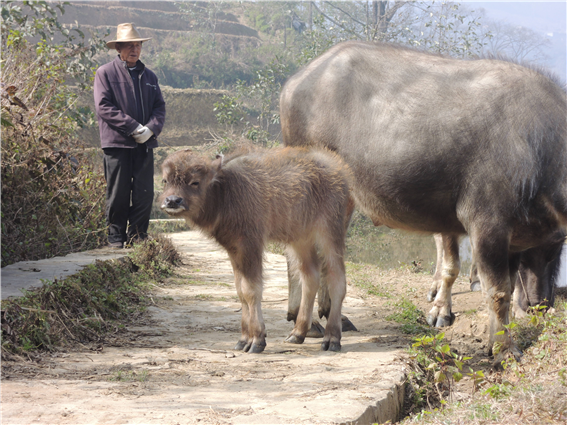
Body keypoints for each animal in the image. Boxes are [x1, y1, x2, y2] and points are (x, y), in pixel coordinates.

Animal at [160, 147, 352, 352]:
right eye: (165, 180)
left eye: (195, 181)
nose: (172, 200)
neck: (225, 193)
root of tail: (339, 169)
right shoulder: (234, 248)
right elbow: (240, 291)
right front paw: (243, 339)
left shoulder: (250, 245)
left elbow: (251, 290)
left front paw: (257, 340)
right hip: (299, 238)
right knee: (311, 277)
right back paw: (298, 333)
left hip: (330, 231)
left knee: (337, 279)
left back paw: (332, 338)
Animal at [280, 39, 567, 366]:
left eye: (559, 245)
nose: (539, 303)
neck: (541, 149)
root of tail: (295, 83)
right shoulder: (487, 225)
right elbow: (497, 292)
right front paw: (506, 350)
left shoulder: (514, 240)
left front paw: (494, 343)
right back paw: (307, 324)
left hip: (342, 199)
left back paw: (329, 318)